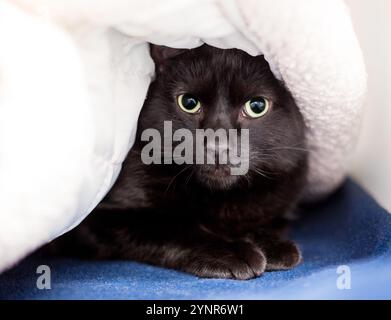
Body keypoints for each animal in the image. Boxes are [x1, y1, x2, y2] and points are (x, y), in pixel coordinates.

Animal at [47, 43, 308, 278]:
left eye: (257, 106)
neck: (219, 198)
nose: (217, 146)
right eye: (189, 103)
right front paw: (233, 253)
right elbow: (173, 228)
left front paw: (272, 245)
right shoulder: (100, 218)